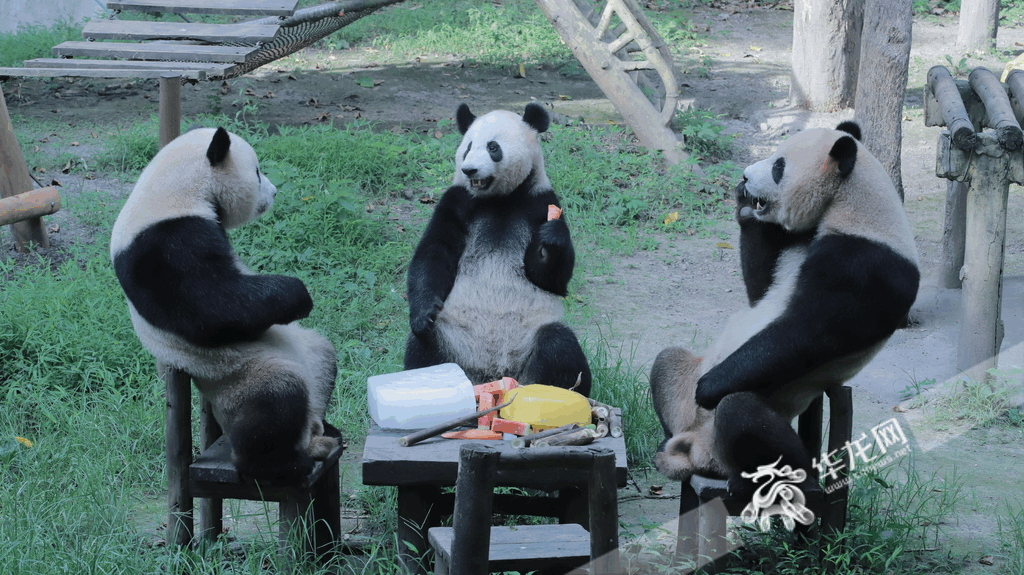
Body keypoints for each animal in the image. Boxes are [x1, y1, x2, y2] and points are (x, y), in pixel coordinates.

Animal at [110, 127, 337, 480]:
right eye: (256, 172)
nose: (273, 192)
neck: (173, 189)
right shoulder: (164, 242)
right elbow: (212, 308)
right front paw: (300, 295)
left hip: (309, 354)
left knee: (324, 357)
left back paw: (325, 431)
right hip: (241, 376)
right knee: (275, 402)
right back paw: (280, 463)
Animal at [401, 102, 593, 392]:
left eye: (493, 147)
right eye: (468, 146)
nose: (469, 170)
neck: (499, 199)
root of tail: (492, 376)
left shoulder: (539, 203)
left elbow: (552, 280)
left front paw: (552, 237)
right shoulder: (457, 202)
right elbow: (434, 253)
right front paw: (424, 314)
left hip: (528, 345)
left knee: (559, 344)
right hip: (454, 340)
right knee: (423, 350)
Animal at [647, 120, 921, 497]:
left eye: (779, 166)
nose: (745, 176)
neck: (850, 203)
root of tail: (695, 449)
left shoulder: (864, 264)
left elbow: (807, 333)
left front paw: (709, 387)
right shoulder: (797, 242)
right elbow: (760, 292)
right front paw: (745, 207)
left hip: (749, 429)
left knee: (742, 415)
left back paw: (781, 475)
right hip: (681, 398)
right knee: (666, 362)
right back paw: (666, 445)